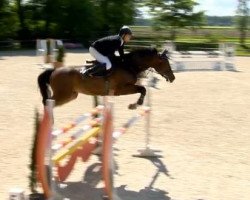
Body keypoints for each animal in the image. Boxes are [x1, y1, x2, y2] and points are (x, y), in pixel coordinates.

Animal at [37, 47, 176, 109]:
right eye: (165, 63)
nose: (173, 77)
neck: (128, 65)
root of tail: (55, 70)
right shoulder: (120, 90)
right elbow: (142, 89)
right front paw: (135, 105)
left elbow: (143, 89)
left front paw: (135, 105)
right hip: (63, 94)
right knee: (47, 102)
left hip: (71, 95)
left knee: (50, 102)